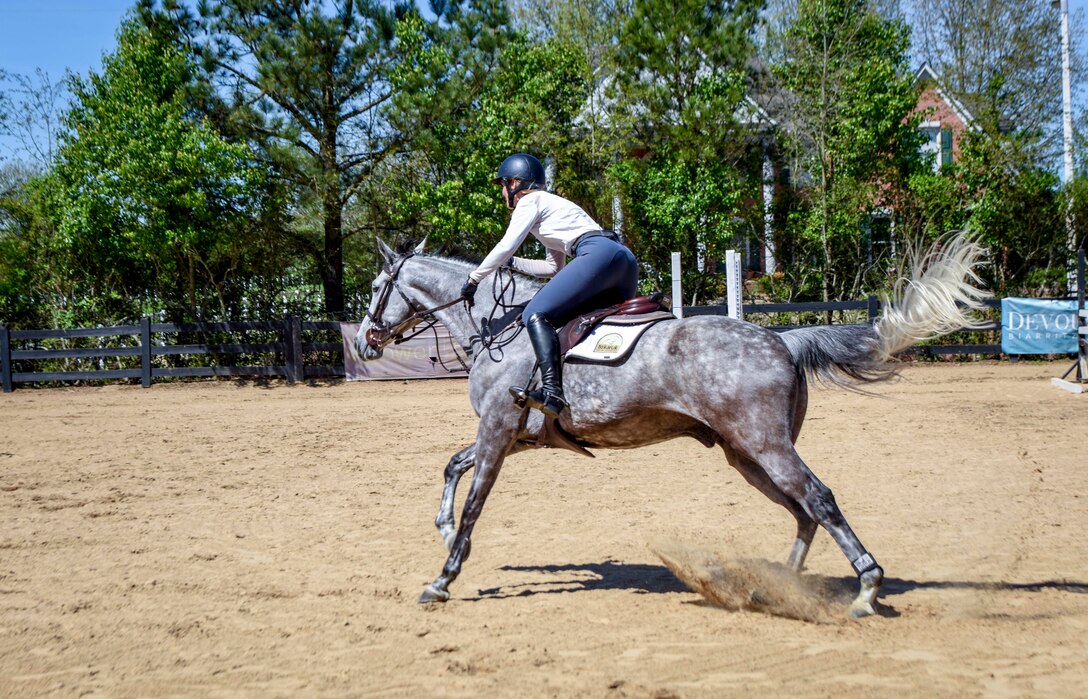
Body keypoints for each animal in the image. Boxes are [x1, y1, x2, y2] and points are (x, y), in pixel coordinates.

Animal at [354, 233, 990, 618]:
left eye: (376, 290)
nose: (364, 341)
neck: (500, 325)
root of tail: (782, 339)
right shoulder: (516, 436)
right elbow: (452, 468)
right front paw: (440, 531)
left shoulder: (497, 430)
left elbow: (473, 506)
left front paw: (443, 577)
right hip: (745, 454)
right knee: (803, 511)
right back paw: (773, 589)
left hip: (765, 446)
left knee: (820, 500)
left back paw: (865, 590)